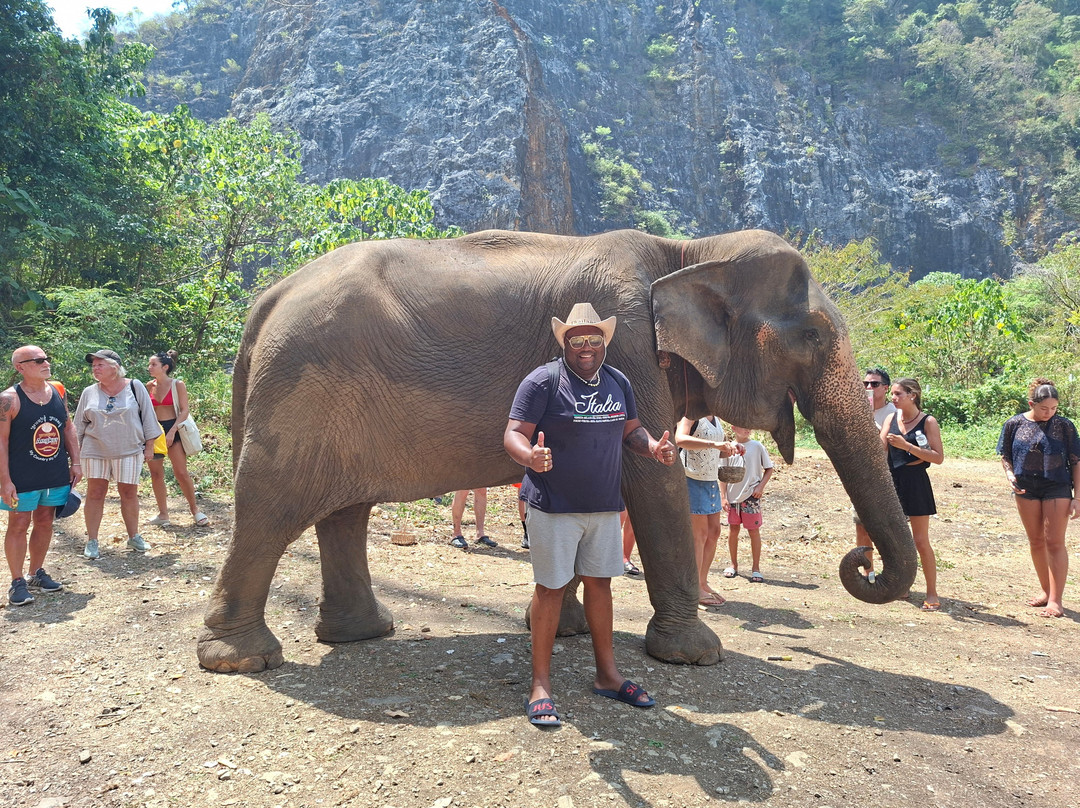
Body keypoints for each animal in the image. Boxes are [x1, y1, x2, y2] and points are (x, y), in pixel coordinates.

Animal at [197, 228, 917, 673]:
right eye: (813, 335)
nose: (860, 561)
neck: (689, 250)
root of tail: (266, 301)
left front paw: (561, 629)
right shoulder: (630, 345)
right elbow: (648, 480)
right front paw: (696, 655)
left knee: (342, 513)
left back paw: (363, 632)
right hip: (301, 397)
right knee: (269, 509)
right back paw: (243, 659)